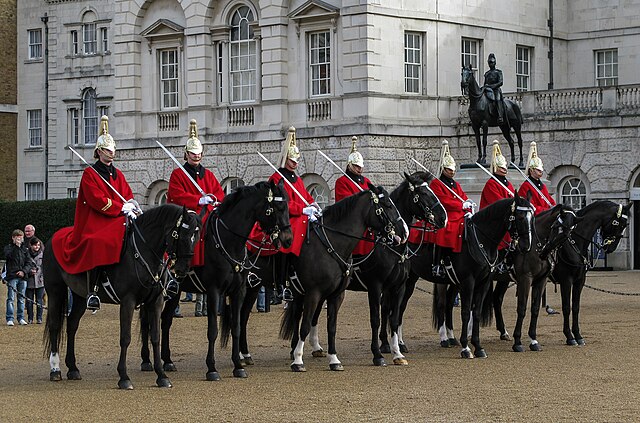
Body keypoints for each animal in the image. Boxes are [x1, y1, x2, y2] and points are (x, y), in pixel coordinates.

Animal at [43, 205, 200, 390]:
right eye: (181, 235)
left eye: (196, 237)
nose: (182, 270)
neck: (143, 253)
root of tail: (52, 238)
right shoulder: (128, 301)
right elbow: (125, 338)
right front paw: (124, 377)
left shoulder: (155, 302)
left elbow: (155, 336)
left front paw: (161, 376)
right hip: (55, 291)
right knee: (54, 326)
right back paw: (55, 369)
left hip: (80, 296)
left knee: (72, 325)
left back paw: (73, 368)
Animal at [140, 181, 292, 382]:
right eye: (277, 207)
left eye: (288, 207)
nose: (288, 239)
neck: (230, 242)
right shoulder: (214, 292)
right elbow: (212, 330)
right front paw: (211, 368)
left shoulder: (239, 291)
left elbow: (236, 326)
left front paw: (238, 365)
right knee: (147, 322)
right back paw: (146, 361)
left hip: (176, 290)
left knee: (165, 321)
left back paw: (168, 361)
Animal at [278, 186, 408, 372]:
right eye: (387, 205)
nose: (404, 231)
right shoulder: (374, 287)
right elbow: (375, 319)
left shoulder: (394, 288)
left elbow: (332, 326)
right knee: (299, 318)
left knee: (306, 317)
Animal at [390, 195, 536, 358]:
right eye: (521, 217)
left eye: (532, 217)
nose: (526, 246)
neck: (480, 240)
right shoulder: (468, 282)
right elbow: (466, 312)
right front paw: (466, 348)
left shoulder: (483, 282)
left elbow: (476, 312)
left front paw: (478, 346)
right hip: (410, 280)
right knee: (404, 307)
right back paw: (402, 344)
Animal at [548, 200, 632, 346]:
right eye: (619, 224)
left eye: (625, 225)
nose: (611, 248)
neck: (575, 243)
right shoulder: (566, 281)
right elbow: (566, 307)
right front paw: (569, 336)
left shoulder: (580, 280)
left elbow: (576, 307)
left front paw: (577, 335)